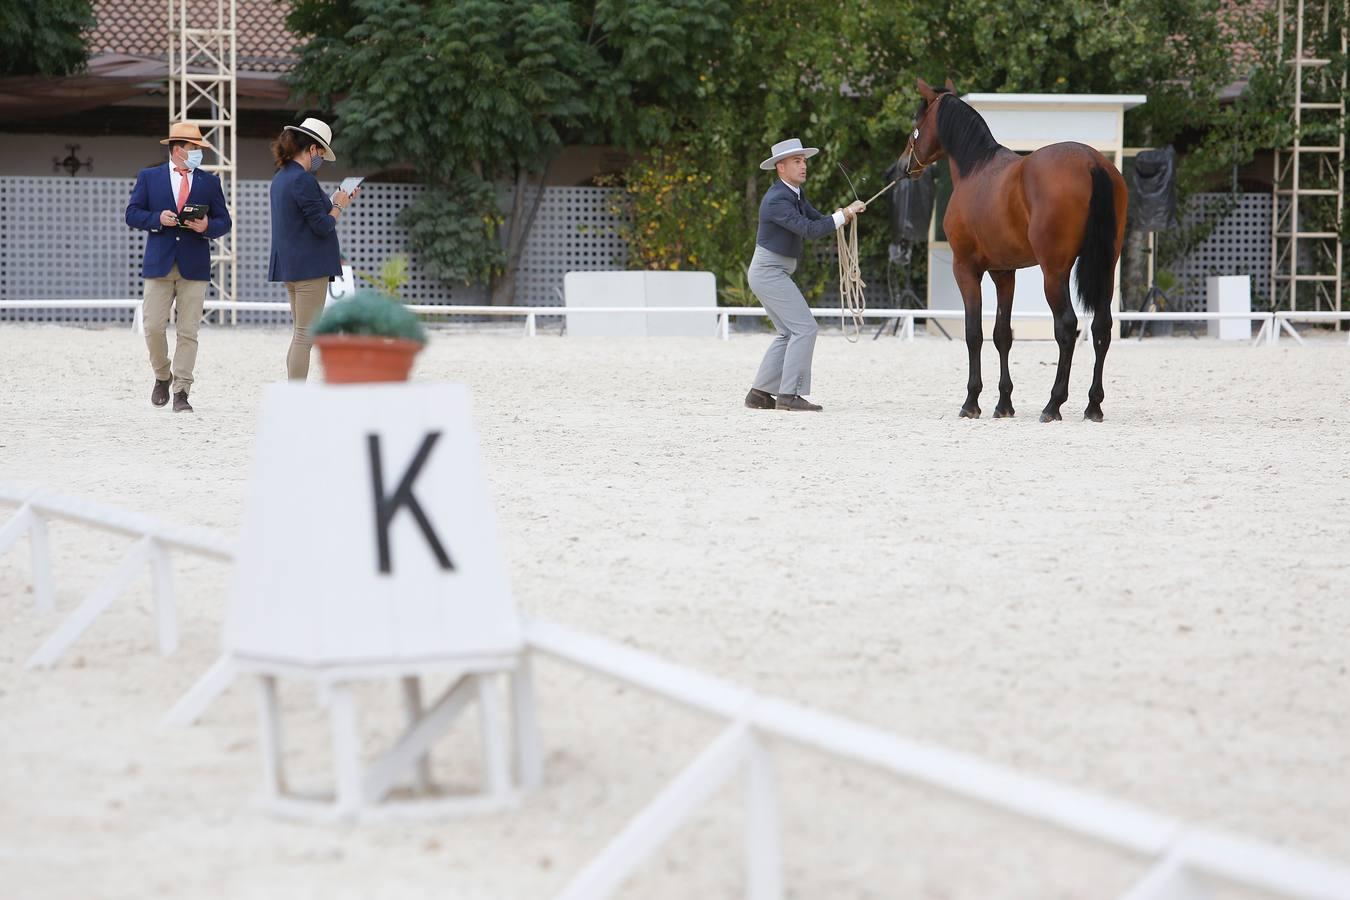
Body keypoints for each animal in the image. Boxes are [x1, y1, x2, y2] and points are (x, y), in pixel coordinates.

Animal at [896, 77, 1128, 423]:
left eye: (916, 124)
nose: (903, 166)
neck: (976, 170)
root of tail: (1092, 162)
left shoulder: (966, 269)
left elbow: (974, 333)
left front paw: (971, 402)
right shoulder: (1004, 272)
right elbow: (1002, 334)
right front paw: (1004, 404)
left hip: (1054, 271)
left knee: (1067, 326)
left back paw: (1053, 404)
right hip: (1106, 268)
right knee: (1102, 328)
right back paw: (1093, 405)